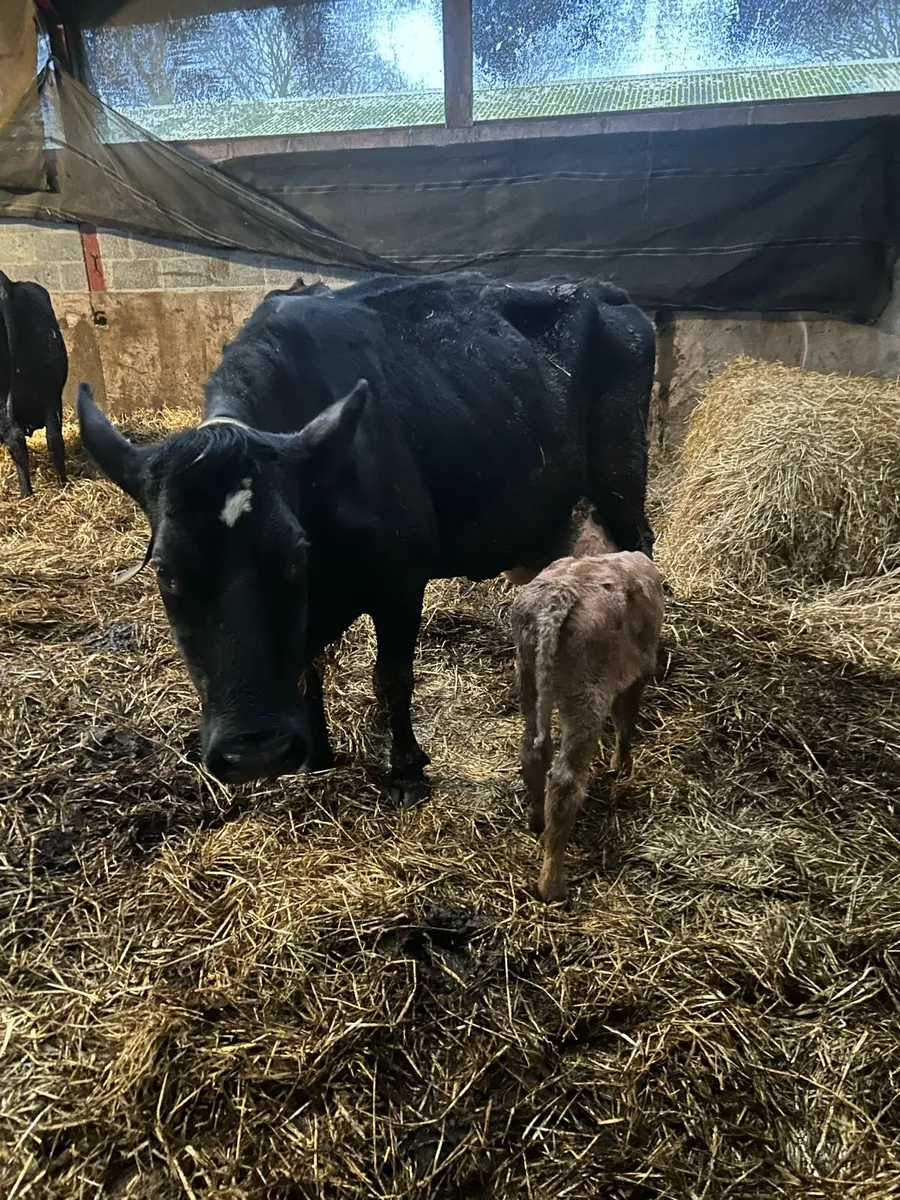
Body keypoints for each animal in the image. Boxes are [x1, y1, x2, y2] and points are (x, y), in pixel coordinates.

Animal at [77, 272, 655, 805]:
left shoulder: (401, 579)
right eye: (165, 571)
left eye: (293, 556)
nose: (255, 752)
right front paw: (315, 753)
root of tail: (603, 289)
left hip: (622, 474)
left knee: (641, 548)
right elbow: (307, 667)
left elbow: (392, 677)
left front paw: (406, 770)